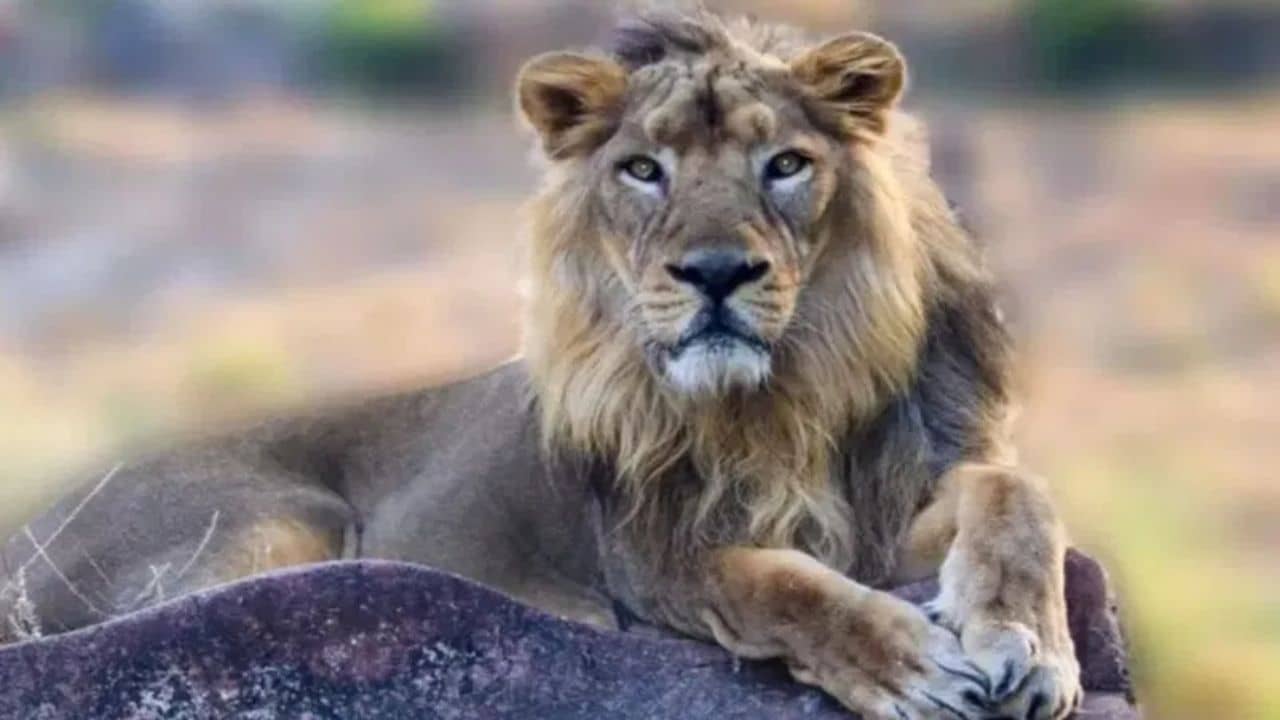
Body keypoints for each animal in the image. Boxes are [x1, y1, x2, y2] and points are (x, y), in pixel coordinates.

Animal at [1, 8, 1082, 720]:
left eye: (785, 165)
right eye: (642, 171)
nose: (716, 273)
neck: (788, 395)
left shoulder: (905, 490)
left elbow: (1016, 496)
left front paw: (1025, 646)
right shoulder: (652, 551)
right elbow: (775, 587)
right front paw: (911, 668)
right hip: (274, 523)